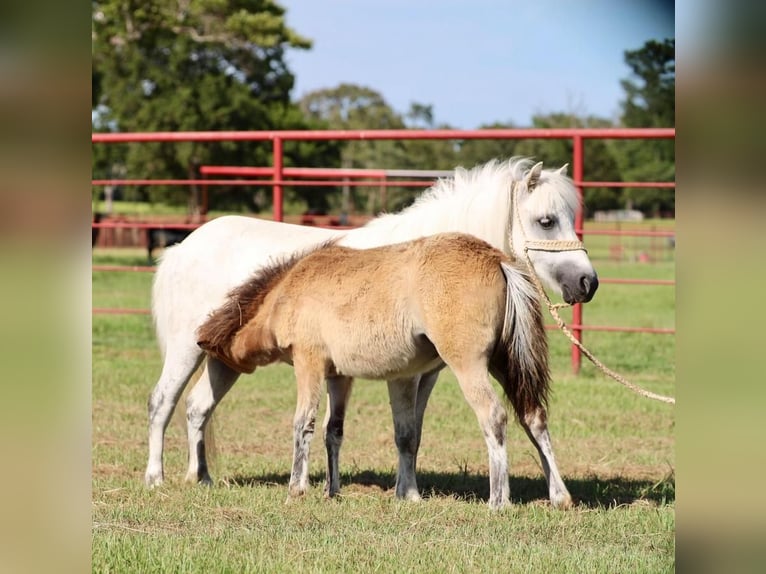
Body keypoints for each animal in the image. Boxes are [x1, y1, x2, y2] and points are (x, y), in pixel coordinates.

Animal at [144, 156, 600, 500]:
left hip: (224, 361)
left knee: (197, 407)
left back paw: (201, 477)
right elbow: (397, 431)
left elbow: (411, 433)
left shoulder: (425, 373)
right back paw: (155, 477)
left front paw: (406, 491)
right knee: (163, 402)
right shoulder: (403, 372)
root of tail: (184, 245)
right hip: (187, 349)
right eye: (546, 221)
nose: (588, 282)